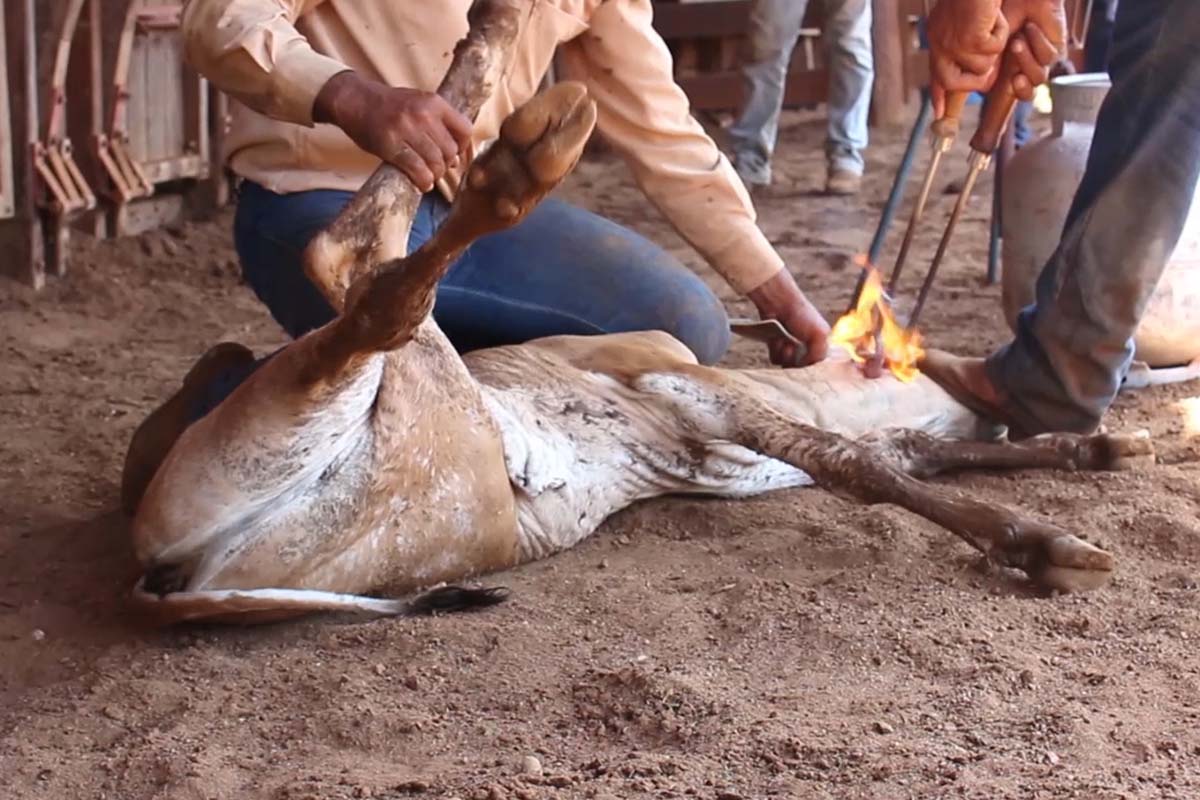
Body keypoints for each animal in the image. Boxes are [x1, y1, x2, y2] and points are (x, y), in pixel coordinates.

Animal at [121, 0, 1142, 623]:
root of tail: (164, 576)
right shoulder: (679, 383)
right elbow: (862, 466)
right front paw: (1049, 542)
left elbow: (907, 457)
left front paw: (1092, 453)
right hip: (405, 369)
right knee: (348, 256)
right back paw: (520, 140)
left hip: (427, 494)